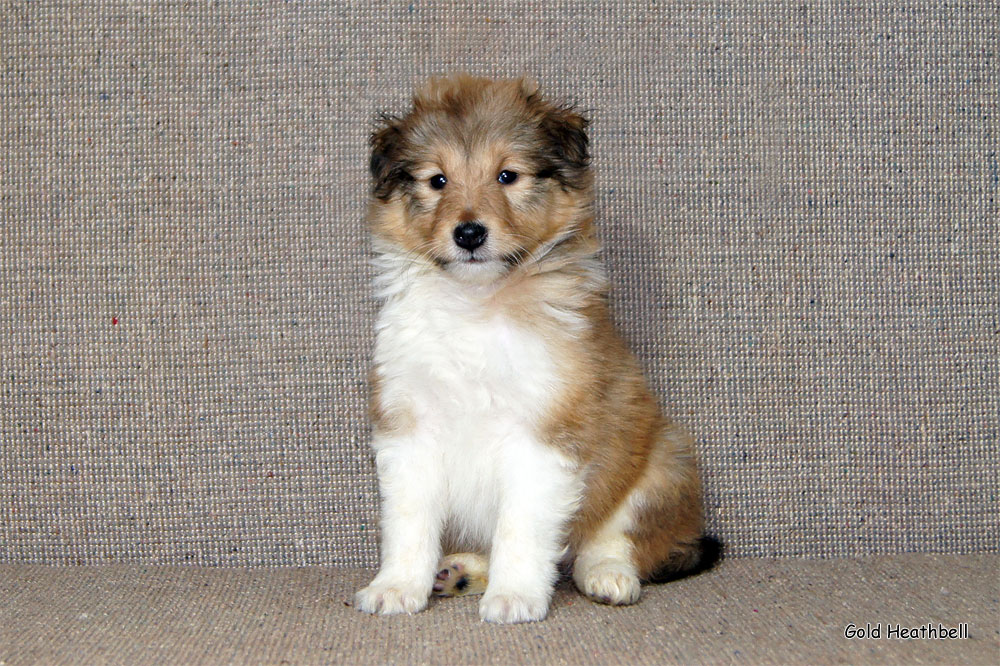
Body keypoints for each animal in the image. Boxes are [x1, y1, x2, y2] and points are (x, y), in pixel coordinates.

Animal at [356, 74, 716, 624]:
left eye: (508, 175)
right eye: (437, 180)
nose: (469, 233)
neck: (477, 304)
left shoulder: (546, 432)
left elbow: (521, 527)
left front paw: (515, 597)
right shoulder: (408, 424)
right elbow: (408, 521)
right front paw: (396, 587)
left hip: (661, 461)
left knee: (610, 540)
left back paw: (607, 576)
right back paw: (459, 571)